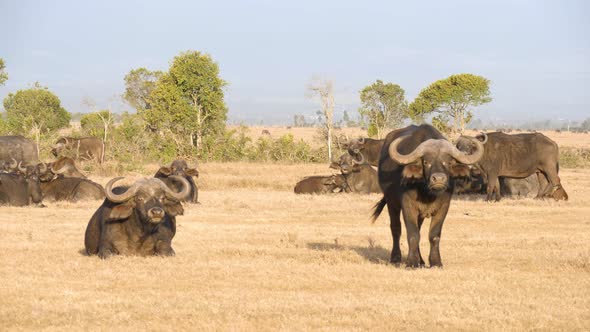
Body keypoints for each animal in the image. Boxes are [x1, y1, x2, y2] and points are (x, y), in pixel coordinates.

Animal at [374, 124, 486, 268]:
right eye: (426, 162)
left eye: (448, 162)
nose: (438, 179)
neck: (427, 194)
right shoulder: (408, 205)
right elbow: (413, 234)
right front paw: (411, 262)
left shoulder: (444, 207)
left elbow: (433, 235)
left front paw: (435, 262)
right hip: (391, 202)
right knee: (396, 228)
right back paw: (396, 258)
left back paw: (421, 261)